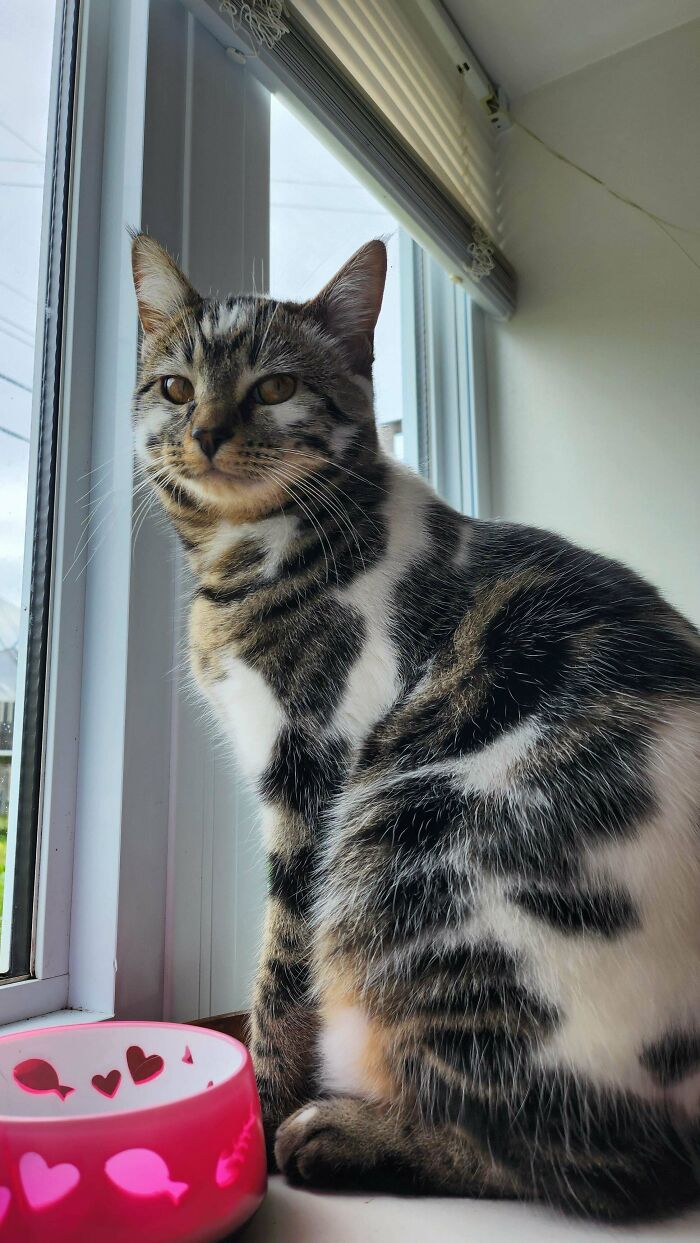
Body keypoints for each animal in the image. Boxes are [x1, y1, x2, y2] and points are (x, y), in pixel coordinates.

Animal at [131, 234, 700, 1223]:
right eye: (174, 386)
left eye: (275, 388)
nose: (203, 430)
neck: (251, 557)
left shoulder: (315, 770)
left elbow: (281, 963)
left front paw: (256, 1113)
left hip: (402, 840)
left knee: (615, 1162)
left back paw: (346, 1133)